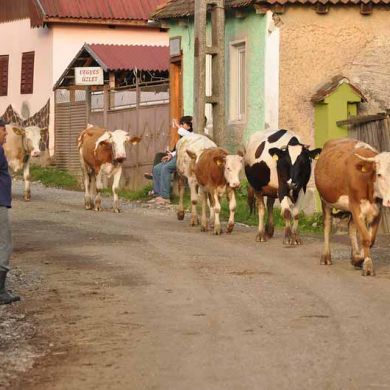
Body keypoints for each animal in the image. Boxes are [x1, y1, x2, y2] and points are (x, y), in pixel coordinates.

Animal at [314, 139, 390, 276]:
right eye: (379, 175)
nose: (389, 200)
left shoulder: (377, 210)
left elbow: (371, 240)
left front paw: (359, 259)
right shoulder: (355, 207)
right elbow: (366, 239)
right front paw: (367, 266)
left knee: (351, 227)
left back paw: (354, 256)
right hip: (325, 200)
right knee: (327, 225)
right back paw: (326, 257)